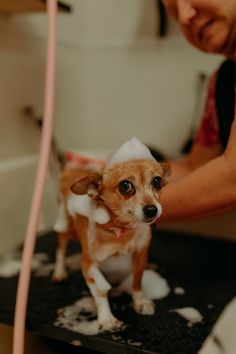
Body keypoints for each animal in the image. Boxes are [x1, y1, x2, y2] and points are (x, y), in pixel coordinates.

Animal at [53, 137, 170, 330]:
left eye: (157, 181)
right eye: (125, 185)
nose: (152, 210)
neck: (121, 229)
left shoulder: (140, 253)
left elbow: (136, 282)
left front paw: (139, 302)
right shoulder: (89, 264)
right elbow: (101, 292)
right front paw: (106, 318)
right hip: (64, 226)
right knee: (60, 250)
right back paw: (59, 271)